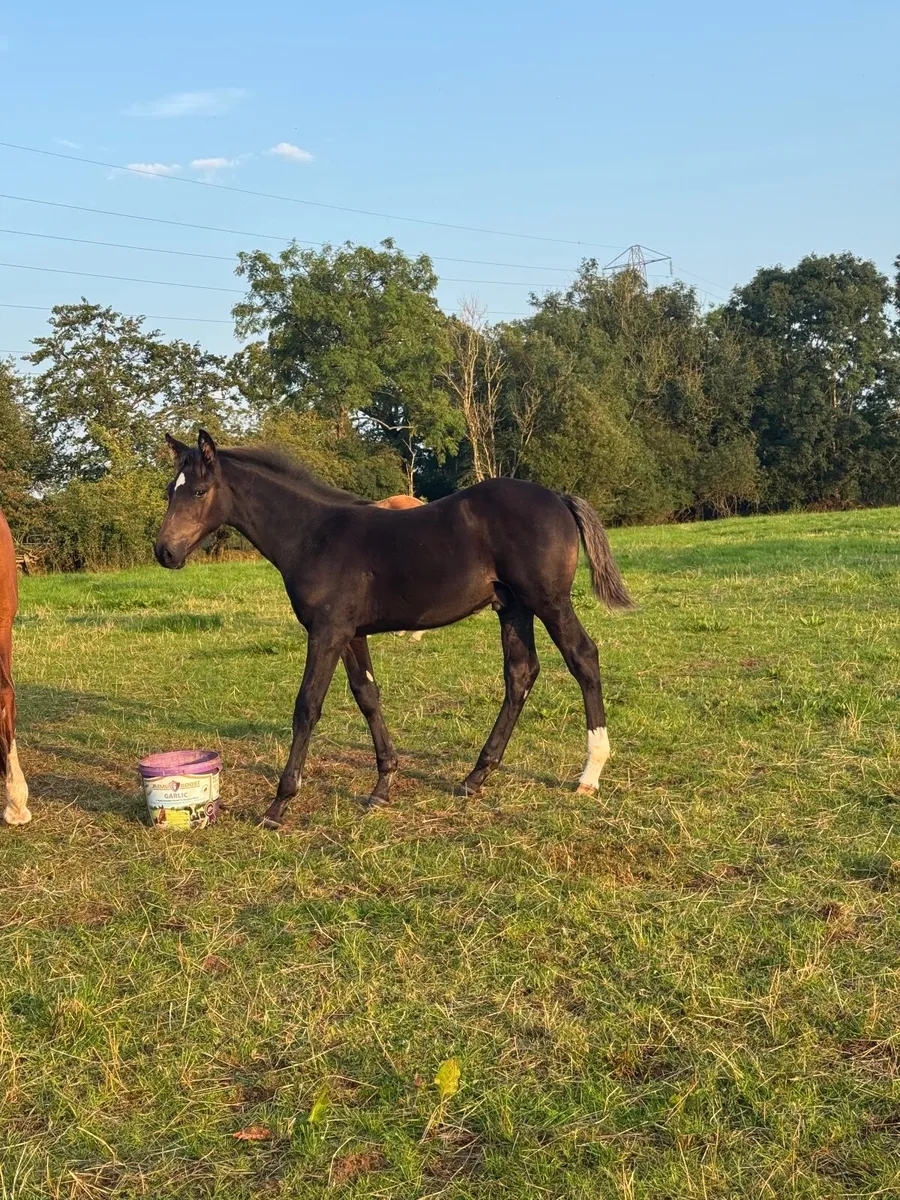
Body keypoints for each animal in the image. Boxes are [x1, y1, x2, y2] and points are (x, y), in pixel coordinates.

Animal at [154, 431, 634, 829]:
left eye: (199, 491)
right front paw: (382, 786)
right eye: (168, 491)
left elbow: (307, 707)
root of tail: (557, 496)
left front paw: (279, 803)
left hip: (548, 602)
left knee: (583, 657)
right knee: (521, 673)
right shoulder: (351, 633)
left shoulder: (326, 632)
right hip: (512, 607)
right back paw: (475, 776)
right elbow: (367, 695)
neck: (314, 535)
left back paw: (590, 773)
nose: (164, 552)